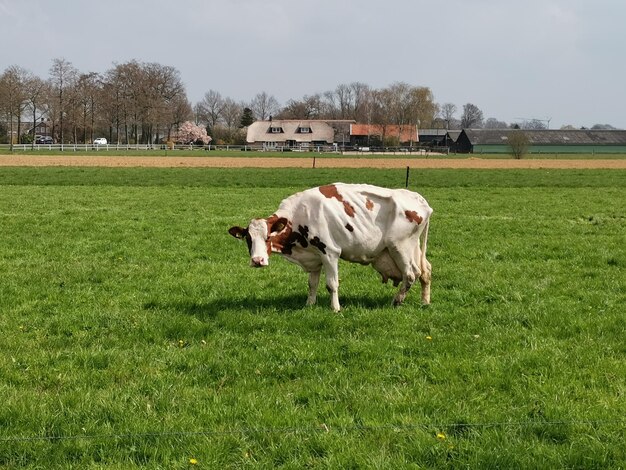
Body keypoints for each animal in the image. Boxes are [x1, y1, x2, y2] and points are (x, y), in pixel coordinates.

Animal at [227, 184, 432, 312]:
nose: (257, 261)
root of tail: (418, 199)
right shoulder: (314, 257)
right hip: (413, 248)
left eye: (268, 237)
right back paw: (425, 301)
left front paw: (335, 308)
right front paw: (309, 304)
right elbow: (312, 284)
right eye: (248, 239)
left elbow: (332, 284)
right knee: (425, 271)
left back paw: (396, 301)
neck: (300, 215)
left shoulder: (330, 253)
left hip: (400, 247)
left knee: (411, 274)